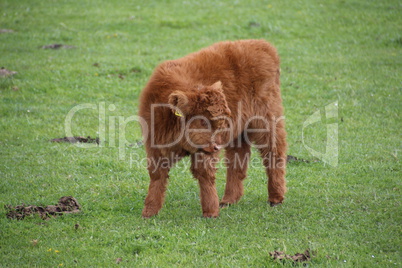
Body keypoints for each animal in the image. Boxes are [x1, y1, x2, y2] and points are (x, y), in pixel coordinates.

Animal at [140, 39, 288, 218]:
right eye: (203, 121)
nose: (217, 146)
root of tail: (262, 44)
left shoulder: (205, 152)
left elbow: (205, 175)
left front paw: (210, 211)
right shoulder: (154, 145)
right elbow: (157, 175)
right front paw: (149, 211)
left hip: (267, 120)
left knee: (274, 152)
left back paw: (276, 197)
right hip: (239, 131)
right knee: (237, 159)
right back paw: (229, 199)